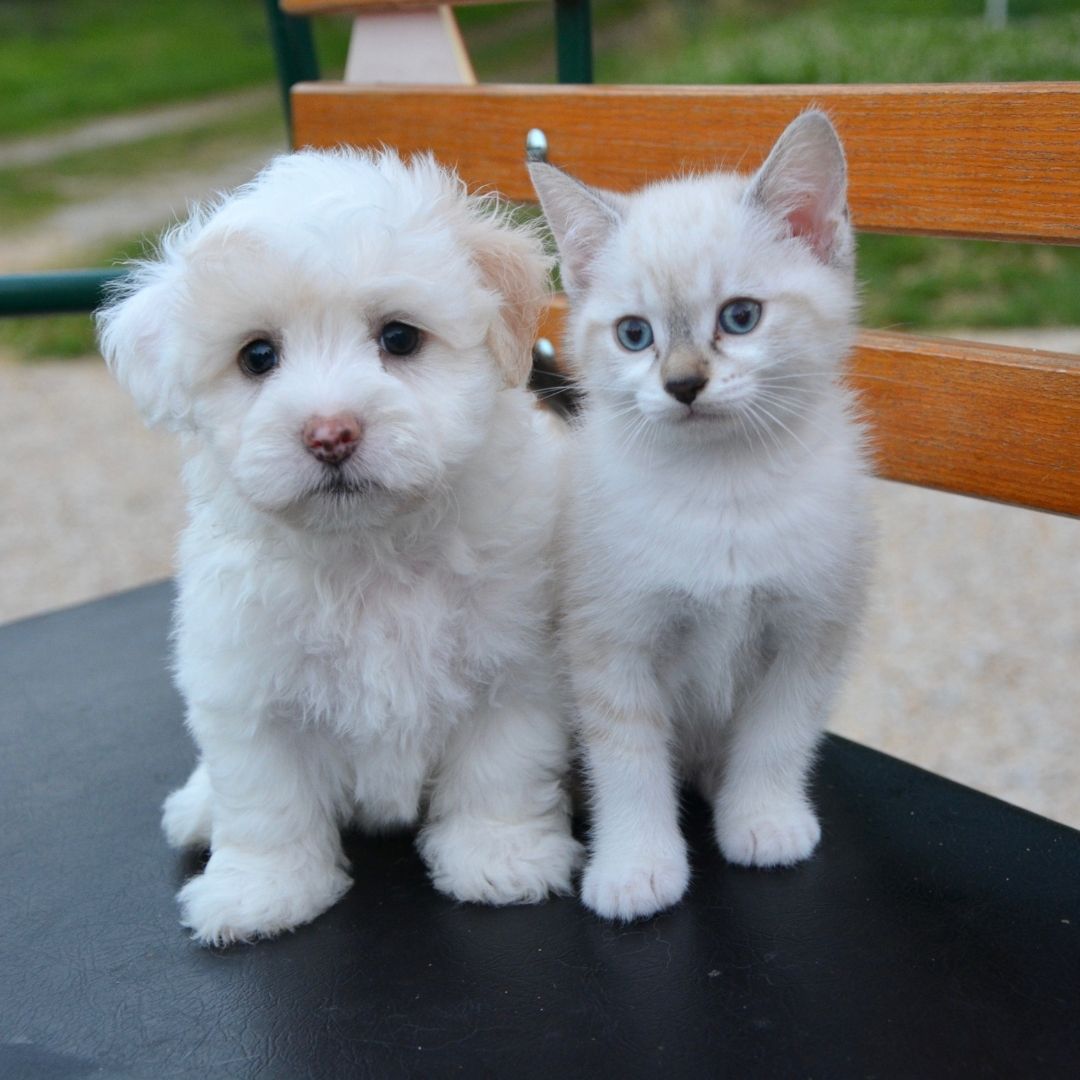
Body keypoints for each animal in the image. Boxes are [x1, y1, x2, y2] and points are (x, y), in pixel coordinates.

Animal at [96, 150, 578, 946]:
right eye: (258, 356)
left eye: (399, 338)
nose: (330, 433)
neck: (369, 551)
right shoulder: (249, 690)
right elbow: (266, 802)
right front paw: (261, 891)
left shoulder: (513, 667)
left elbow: (499, 770)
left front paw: (499, 856)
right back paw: (198, 808)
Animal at [527, 111, 872, 920]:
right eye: (634, 334)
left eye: (740, 318)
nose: (683, 384)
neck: (724, 493)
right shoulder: (610, 640)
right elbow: (627, 762)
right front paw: (636, 866)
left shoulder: (810, 629)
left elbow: (778, 736)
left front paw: (764, 817)